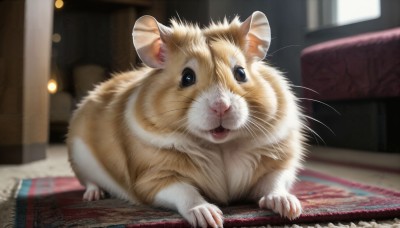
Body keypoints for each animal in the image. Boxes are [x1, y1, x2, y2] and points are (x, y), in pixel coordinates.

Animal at [68, 11, 306, 228]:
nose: (222, 106)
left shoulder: (277, 162)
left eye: (240, 73)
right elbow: (185, 191)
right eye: (187, 77)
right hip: (79, 159)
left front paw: (291, 210)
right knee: (88, 181)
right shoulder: (152, 178)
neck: (220, 146)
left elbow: (275, 181)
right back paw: (94, 195)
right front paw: (211, 218)